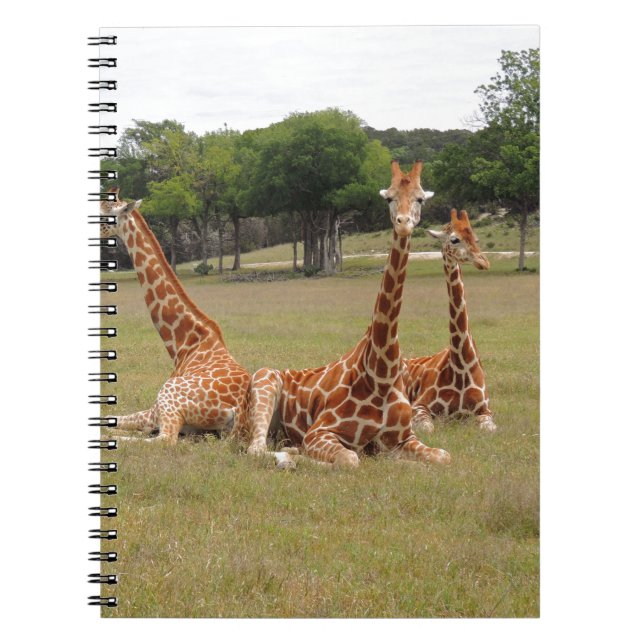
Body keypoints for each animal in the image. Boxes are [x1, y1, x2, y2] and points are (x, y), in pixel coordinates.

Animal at [98, 189, 252, 445]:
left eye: (103, 213)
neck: (183, 345)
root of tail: (238, 411)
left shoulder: (154, 411)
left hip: (169, 399)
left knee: (164, 440)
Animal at [247, 161, 450, 468]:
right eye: (389, 198)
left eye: (420, 199)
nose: (403, 223)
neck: (381, 374)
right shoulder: (319, 432)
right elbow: (350, 459)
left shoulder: (402, 438)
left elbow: (443, 456)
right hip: (264, 382)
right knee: (255, 449)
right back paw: (291, 456)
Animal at [404, 208, 497, 433]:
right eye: (455, 239)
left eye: (475, 238)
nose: (484, 262)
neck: (461, 366)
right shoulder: (419, 406)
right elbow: (428, 428)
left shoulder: (485, 410)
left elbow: (489, 429)